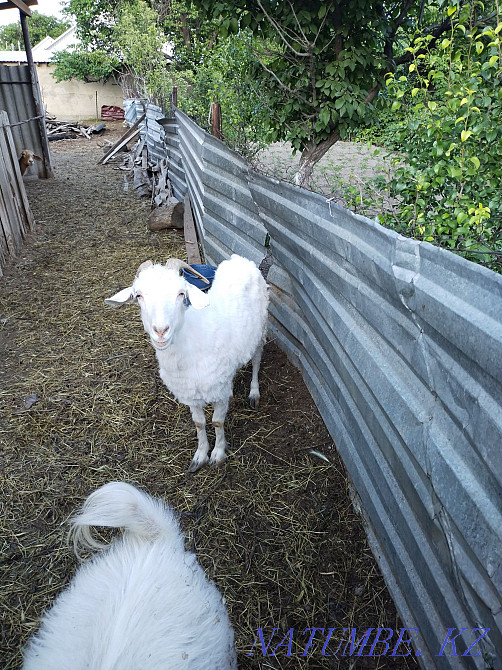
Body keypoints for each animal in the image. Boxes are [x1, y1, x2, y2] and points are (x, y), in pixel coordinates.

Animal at [106, 254, 269, 472]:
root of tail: (240, 259)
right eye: (138, 295)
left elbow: (217, 422)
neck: (192, 339)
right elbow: (199, 423)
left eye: (181, 293)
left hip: (261, 329)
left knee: (257, 360)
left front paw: (218, 454)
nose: (161, 331)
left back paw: (254, 392)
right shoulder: (190, 390)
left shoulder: (218, 390)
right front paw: (200, 455)